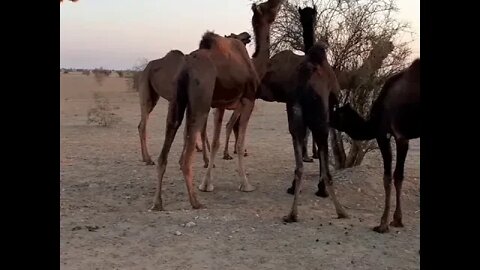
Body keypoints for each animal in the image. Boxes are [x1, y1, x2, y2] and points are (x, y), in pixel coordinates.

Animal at [137, 32, 253, 168]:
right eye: (234, 37)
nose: (247, 35)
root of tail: (145, 68)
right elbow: (198, 130)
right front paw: (206, 161)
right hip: (146, 91)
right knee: (143, 124)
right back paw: (148, 159)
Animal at [150, 0, 284, 211]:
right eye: (268, 7)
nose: (279, 2)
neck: (255, 66)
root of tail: (187, 66)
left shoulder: (220, 105)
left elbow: (215, 142)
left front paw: (207, 184)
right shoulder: (248, 101)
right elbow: (240, 141)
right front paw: (245, 184)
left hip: (176, 102)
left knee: (165, 151)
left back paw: (157, 202)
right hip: (201, 102)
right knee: (185, 158)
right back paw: (195, 202)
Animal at [330, 58, 420, 232]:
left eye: (337, 114)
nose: (326, 118)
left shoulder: (383, 134)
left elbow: (387, 177)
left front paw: (382, 223)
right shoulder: (403, 138)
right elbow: (399, 176)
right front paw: (397, 220)